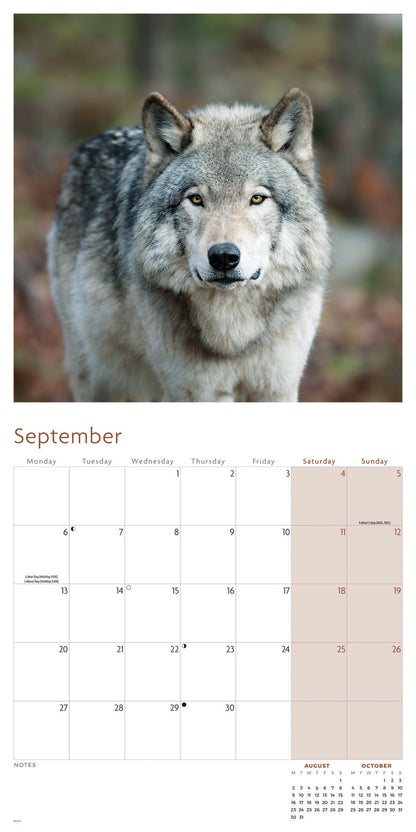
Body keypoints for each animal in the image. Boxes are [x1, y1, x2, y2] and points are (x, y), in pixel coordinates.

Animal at [48, 88, 330, 401]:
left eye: (257, 198)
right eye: (196, 199)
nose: (223, 256)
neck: (231, 337)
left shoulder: (276, 389)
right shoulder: (189, 392)